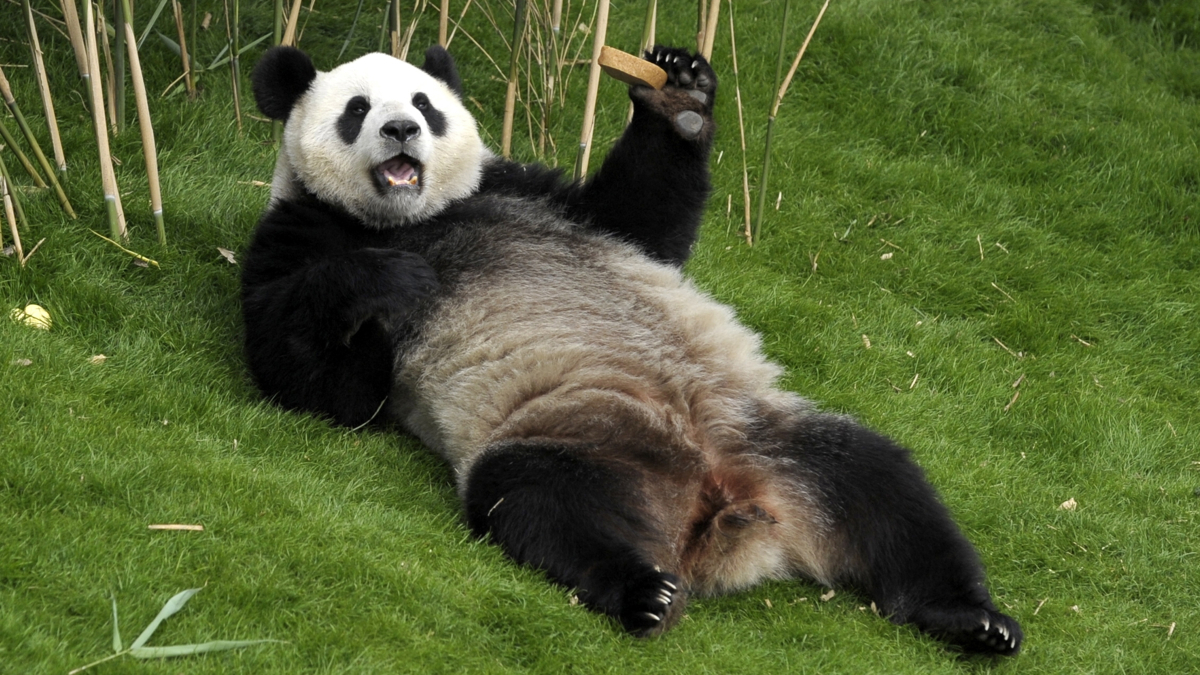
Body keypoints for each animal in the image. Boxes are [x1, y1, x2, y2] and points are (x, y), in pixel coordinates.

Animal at [242, 44, 1022, 655]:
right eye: (357, 110)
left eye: (424, 105)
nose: (401, 129)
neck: (421, 215)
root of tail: (723, 504)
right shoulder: (303, 227)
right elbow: (319, 384)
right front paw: (387, 280)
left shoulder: (527, 186)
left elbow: (642, 222)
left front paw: (678, 92)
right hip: (579, 434)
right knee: (545, 504)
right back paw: (646, 593)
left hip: (772, 435)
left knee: (885, 489)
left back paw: (972, 618)